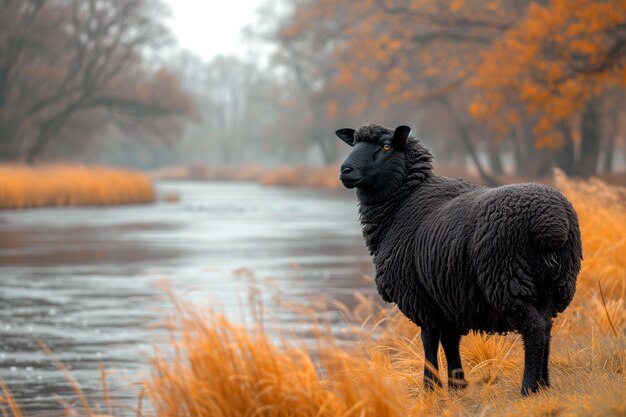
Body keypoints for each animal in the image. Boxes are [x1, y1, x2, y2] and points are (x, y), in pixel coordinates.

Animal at [334, 122, 584, 394]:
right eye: (354, 144)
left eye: (387, 146)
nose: (345, 170)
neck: (402, 202)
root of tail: (551, 222)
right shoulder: (447, 295)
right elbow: (450, 339)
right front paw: (457, 384)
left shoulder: (421, 296)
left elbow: (429, 339)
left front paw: (430, 386)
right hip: (554, 284)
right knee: (547, 326)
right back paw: (544, 384)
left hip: (506, 280)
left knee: (535, 329)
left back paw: (528, 387)